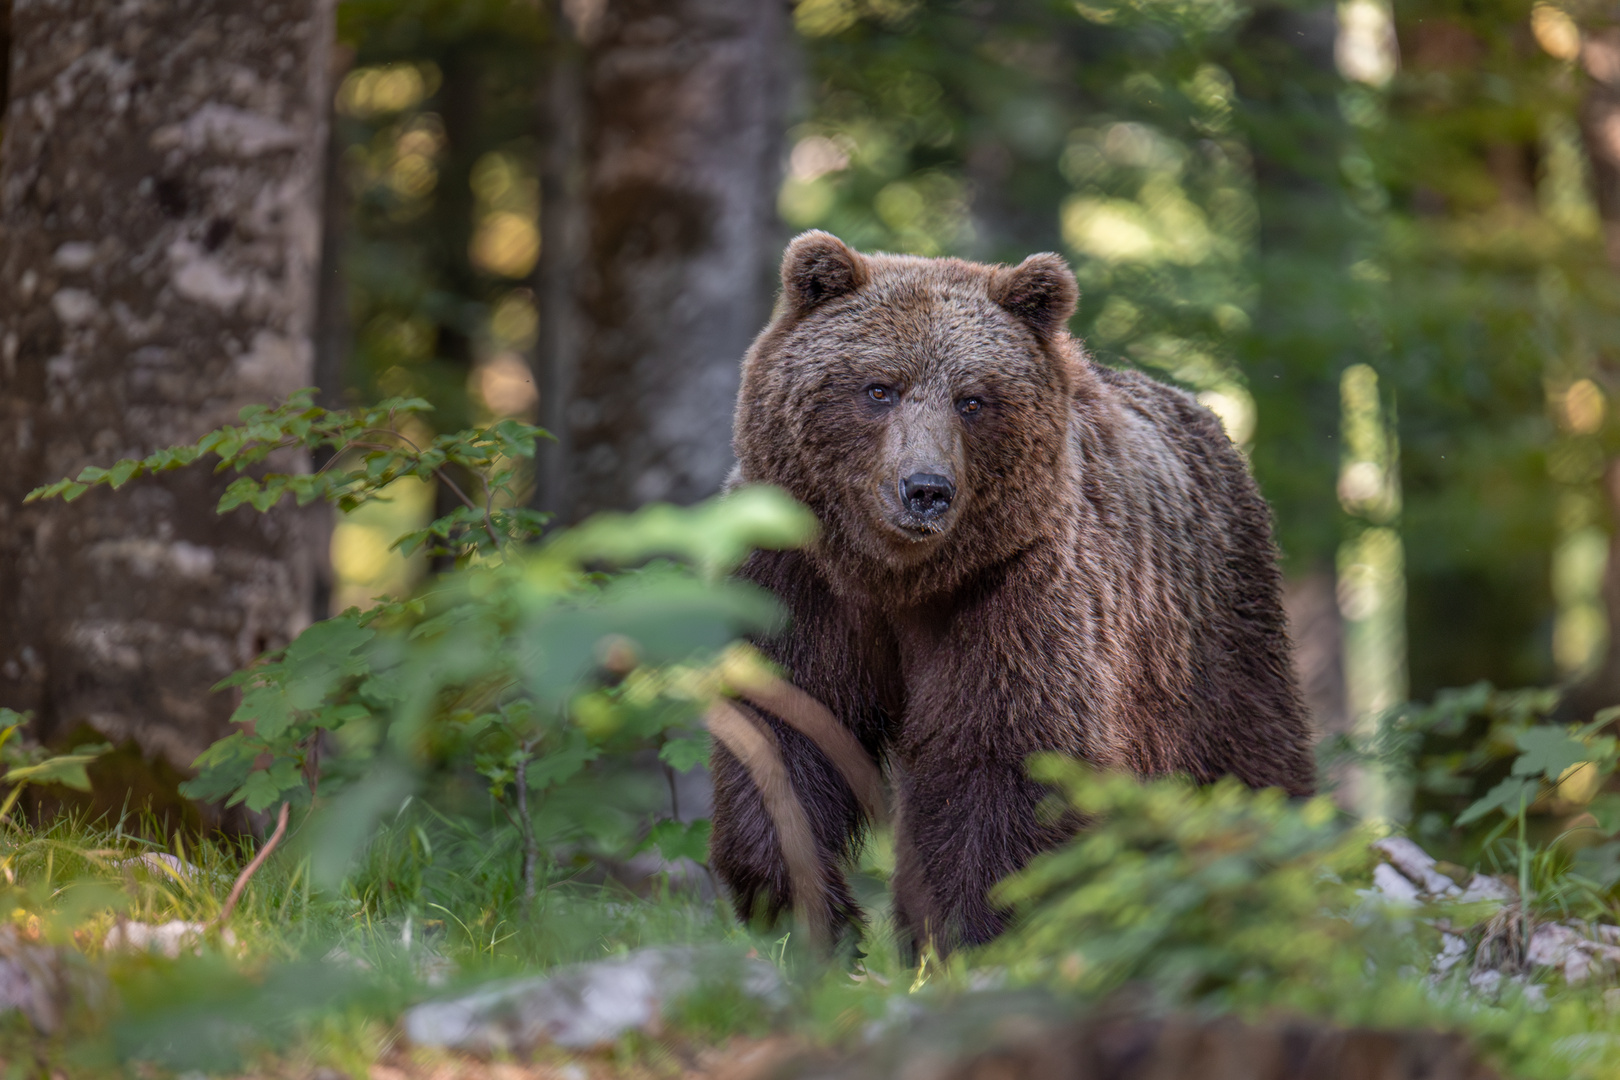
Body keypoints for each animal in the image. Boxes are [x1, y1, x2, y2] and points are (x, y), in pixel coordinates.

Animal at [709, 229, 1315, 952]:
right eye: (879, 387)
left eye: (972, 399)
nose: (926, 489)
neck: (897, 578)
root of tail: (1206, 417)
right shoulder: (800, 580)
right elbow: (785, 728)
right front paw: (812, 922)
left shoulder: (1016, 590)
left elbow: (1005, 761)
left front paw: (973, 934)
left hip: (1208, 637)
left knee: (1252, 762)